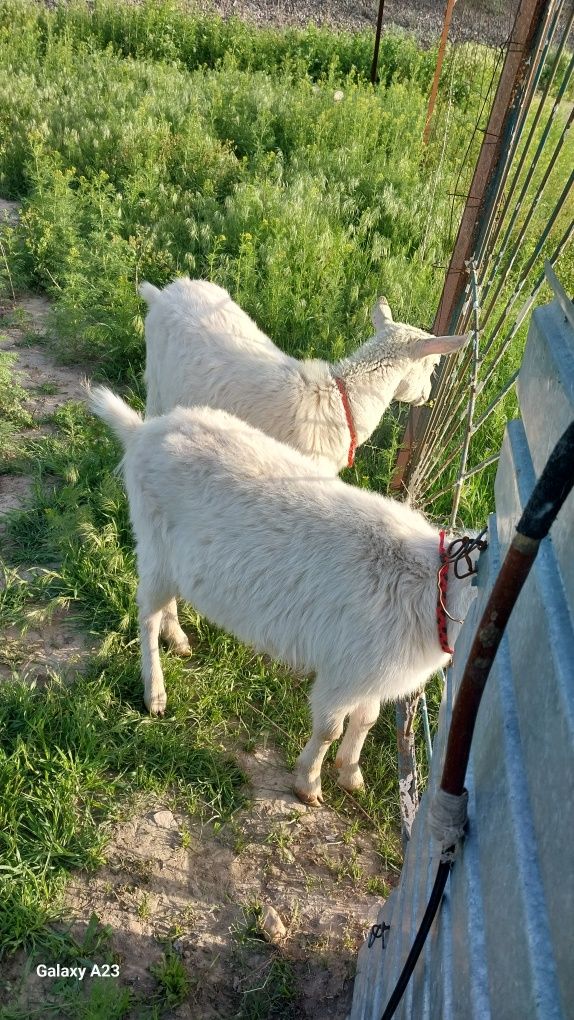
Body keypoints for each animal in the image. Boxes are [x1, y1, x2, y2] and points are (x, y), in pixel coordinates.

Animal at [87, 387, 483, 803]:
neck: (428, 586)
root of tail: (141, 431)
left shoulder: (371, 670)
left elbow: (367, 719)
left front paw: (350, 774)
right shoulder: (343, 671)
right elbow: (329, 729)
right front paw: (308, 783)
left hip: (174, 562)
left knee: (166, 604)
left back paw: (177, 639)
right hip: (154, 545)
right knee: (146, 614)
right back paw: (156, 694)